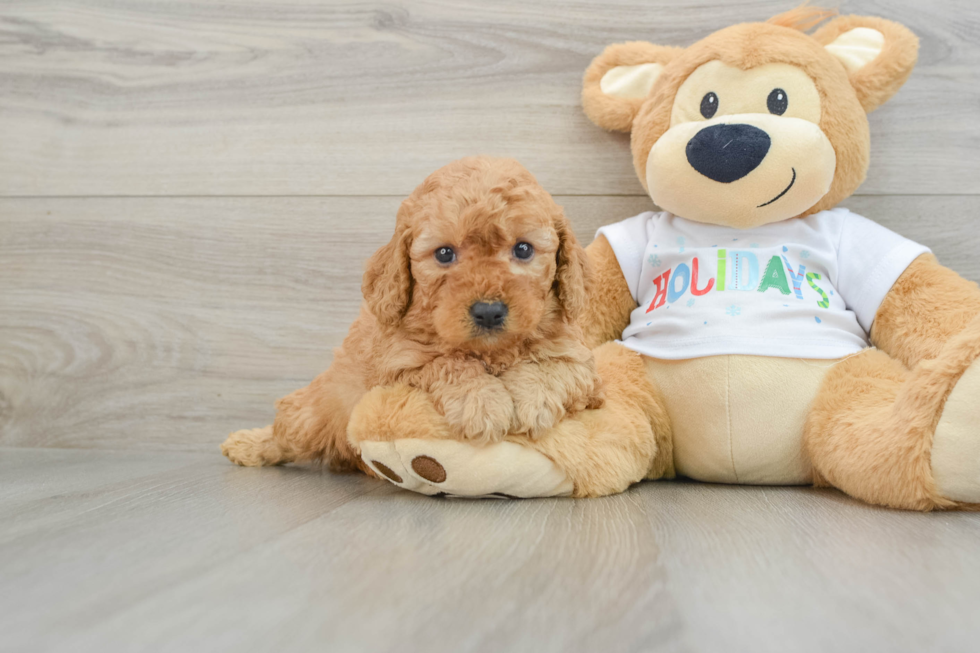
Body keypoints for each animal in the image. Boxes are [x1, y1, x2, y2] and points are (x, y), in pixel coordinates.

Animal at [223, 155, 600, 472]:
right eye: (444, 254)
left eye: (523, 249)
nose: (489, 312)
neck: (491, 351)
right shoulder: (396, 366)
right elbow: (447, 362)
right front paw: (481, 404)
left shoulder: (583, 365)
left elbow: (554, 366)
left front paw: (535, 400)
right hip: (315, 411)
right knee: (287, 429)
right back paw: (246, 444)